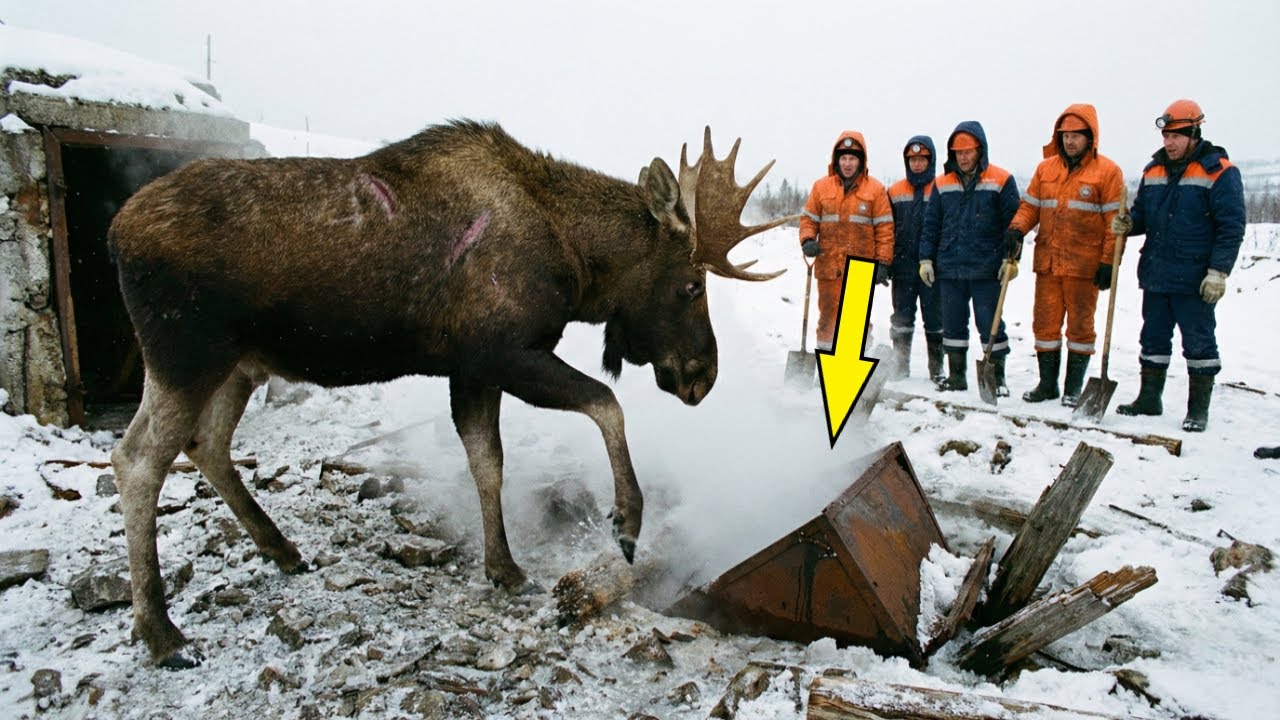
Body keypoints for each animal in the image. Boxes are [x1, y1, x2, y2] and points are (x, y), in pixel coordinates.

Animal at [107, 119, 789, 667]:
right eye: (692, 286)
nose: (703, 375)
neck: (575, 262)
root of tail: (116, 229)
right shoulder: (502, 351)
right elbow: (606, 404)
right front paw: (626, 519)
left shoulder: (471, 369)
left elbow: (488, 462)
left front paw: (505, 568)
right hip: (185, 355)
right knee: (136, 458)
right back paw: (160, 632)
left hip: (239, 365)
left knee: (207, 444)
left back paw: (280, 549)